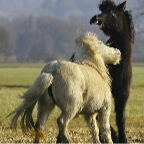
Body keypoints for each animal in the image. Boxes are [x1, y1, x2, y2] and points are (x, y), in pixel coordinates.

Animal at [89, 0, 134, 143]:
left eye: (113, 13)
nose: (95, 18)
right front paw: (115, 137)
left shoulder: (123, 93)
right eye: (103, 11)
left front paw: (123, 139)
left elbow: (121, 118)